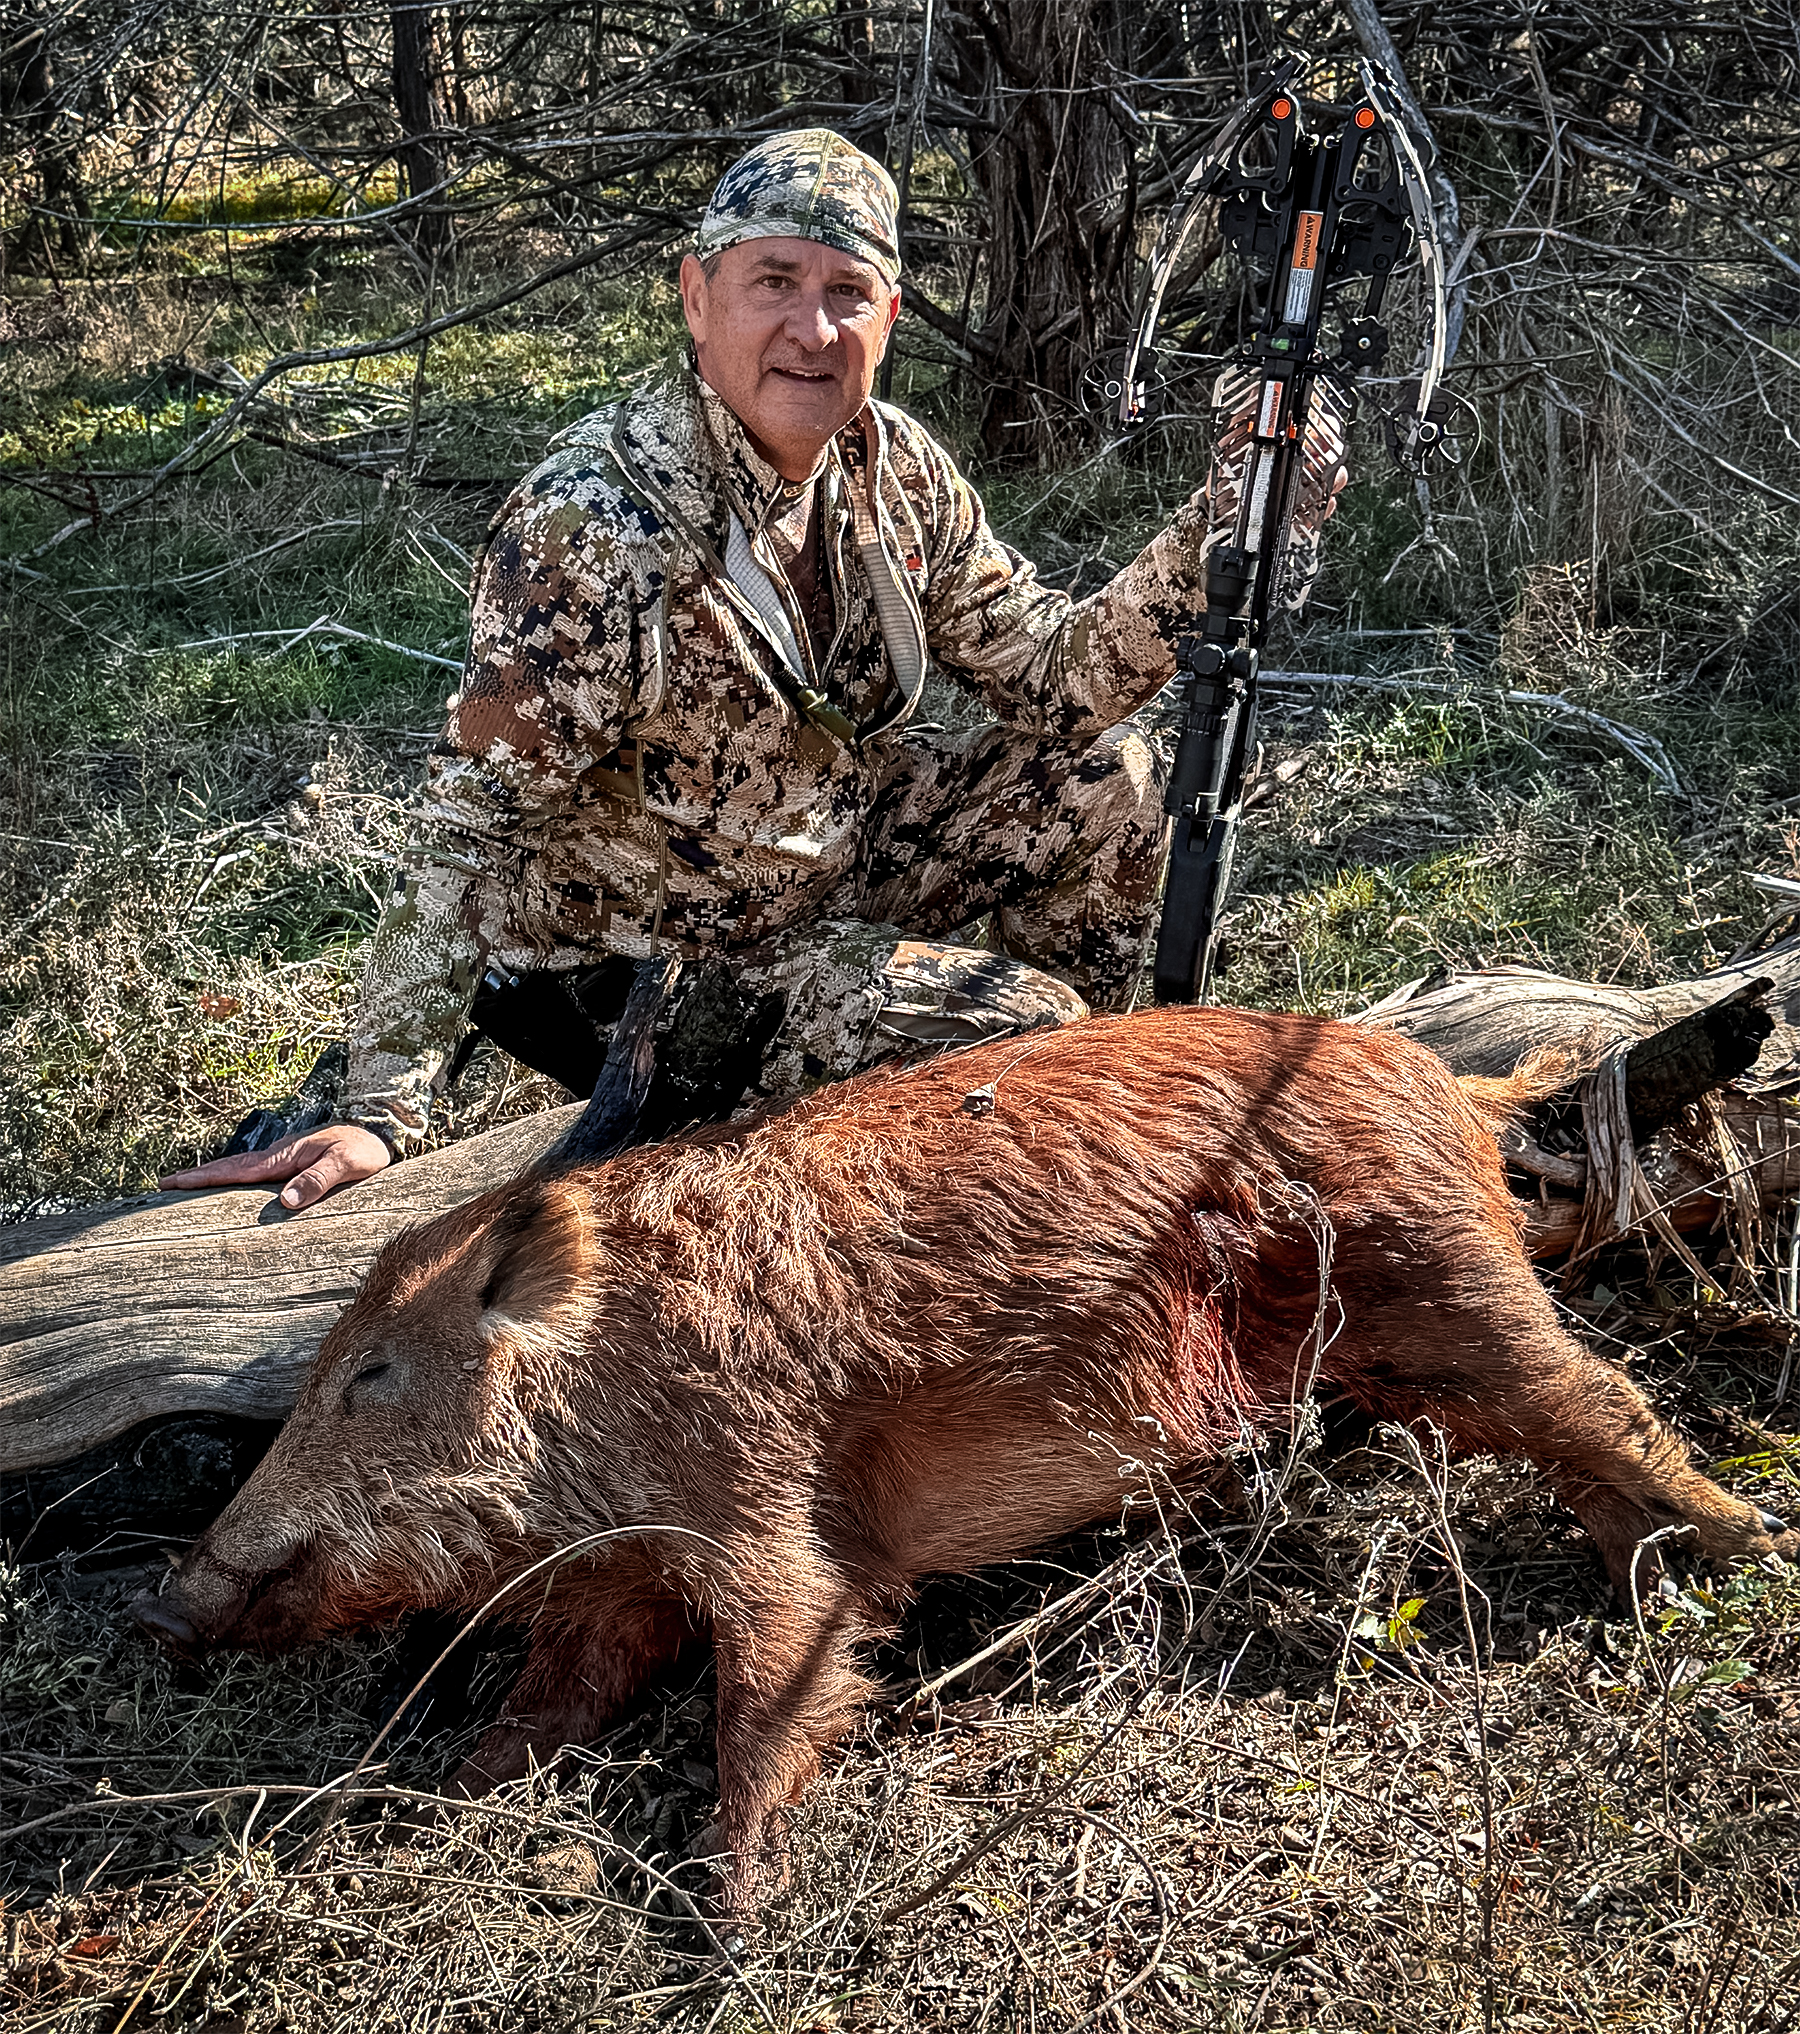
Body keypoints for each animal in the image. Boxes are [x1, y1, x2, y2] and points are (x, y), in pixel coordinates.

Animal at [132, 1006, 1795, 1912]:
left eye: (370, 1373)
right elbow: (557, 1690)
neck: (613, 1397)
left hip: (1444, 1274)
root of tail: (1458, 1089)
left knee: (1605, 1398)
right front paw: (458, 1792)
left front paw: (736, 1917)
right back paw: (1650, 1580)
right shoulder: (624, 1579)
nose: (165, 1598)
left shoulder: (771, 1511)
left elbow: (775, 1689)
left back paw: (1740, 1557)